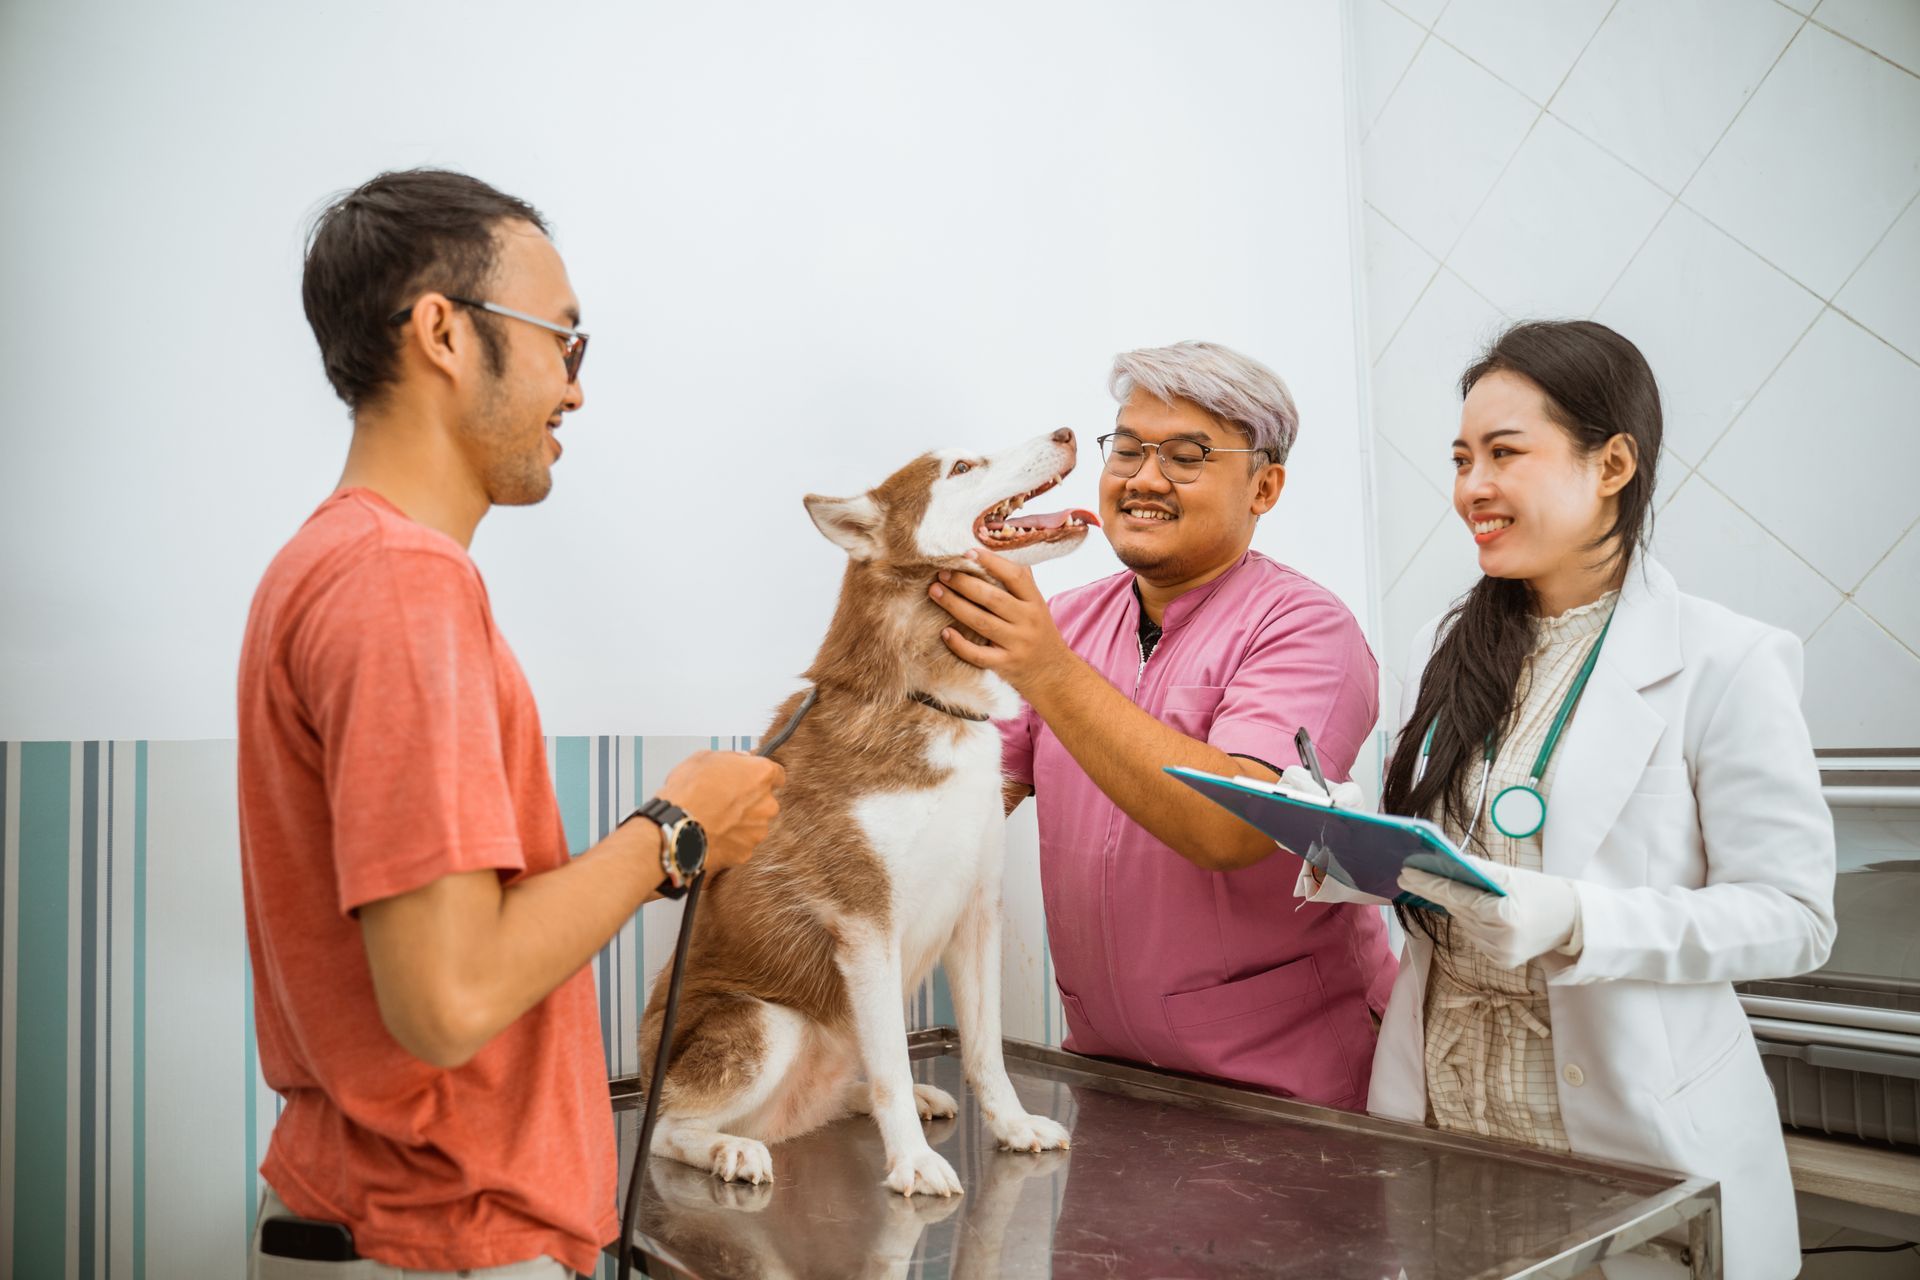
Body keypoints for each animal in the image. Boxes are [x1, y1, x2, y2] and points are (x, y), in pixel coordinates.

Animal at [641, 433, 1098, 1205]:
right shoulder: (864, 924)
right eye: (961, 468)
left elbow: (985, 1053)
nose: (1066, 432)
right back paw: (730, 1149)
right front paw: (912, 1161)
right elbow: (890, 1060)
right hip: (765, 1022)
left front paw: (1010, 1126)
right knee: (667, 1134)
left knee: (838, 1094)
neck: (928, 701)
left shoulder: (976, 911)